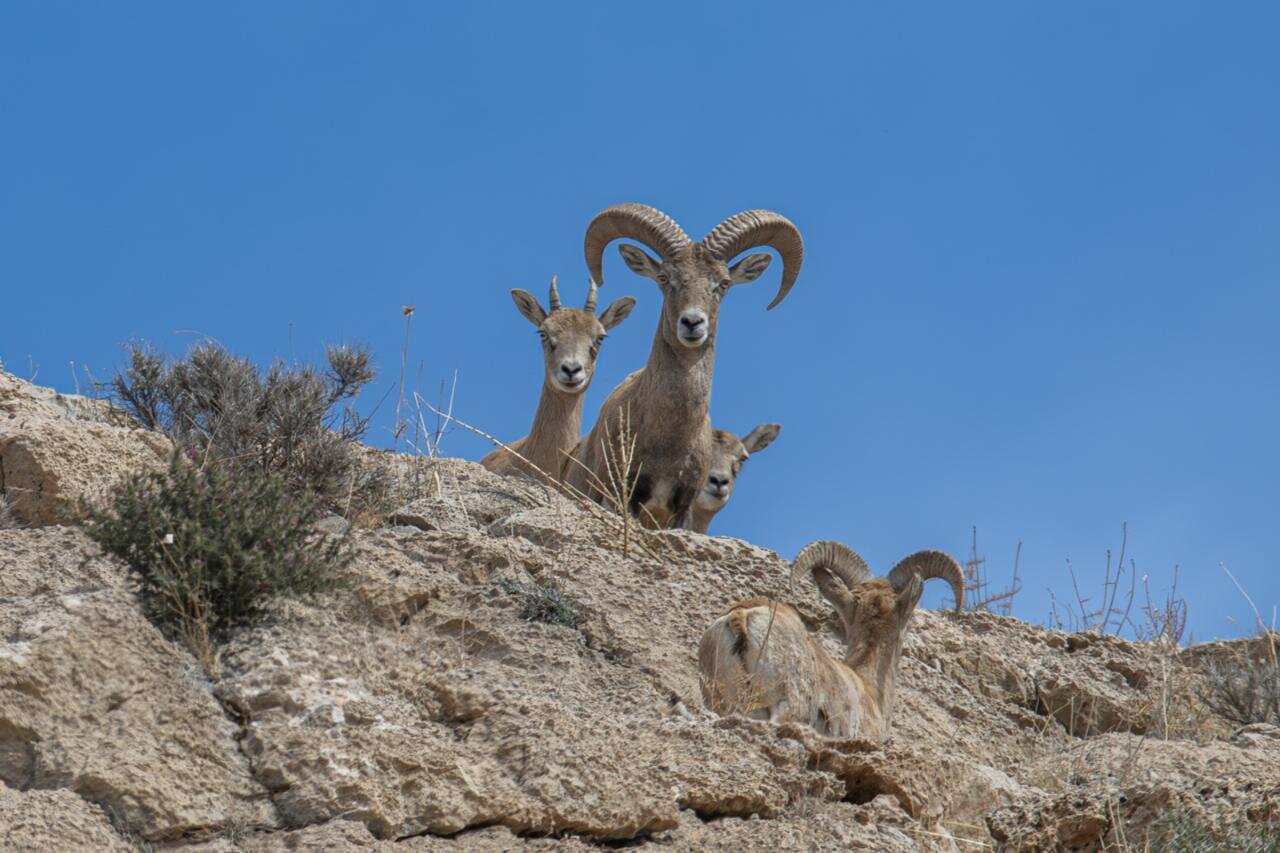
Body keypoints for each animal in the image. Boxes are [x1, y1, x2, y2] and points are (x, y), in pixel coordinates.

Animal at [564, 204, 804, 529]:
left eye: (723, 283)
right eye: (665, 278)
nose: (692, 323)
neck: (670, 437)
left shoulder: (681, 508)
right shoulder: (622, 496)